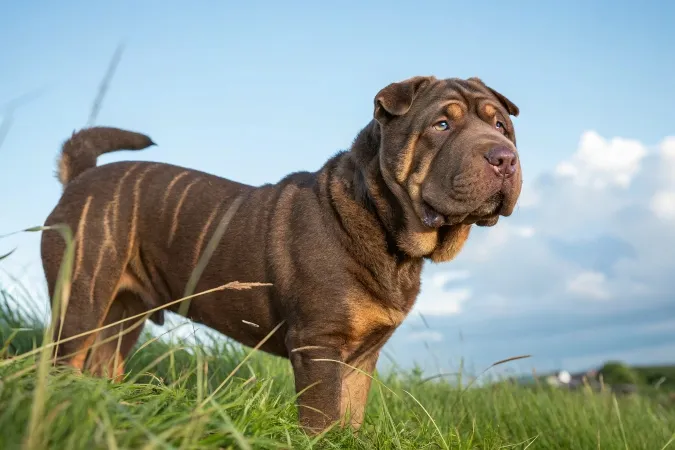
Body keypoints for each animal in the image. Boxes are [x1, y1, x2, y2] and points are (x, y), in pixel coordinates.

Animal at [39, 75, 524, 434]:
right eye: (441, 125)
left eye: (501, 126)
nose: (504, 157)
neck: (389, 233)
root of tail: (80, 179)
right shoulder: (319, 343)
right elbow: (322, 419)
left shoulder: (360, 358)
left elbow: (350, 417)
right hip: (82, 300)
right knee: (64, 360)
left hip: (123, 316)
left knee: (103, 364)